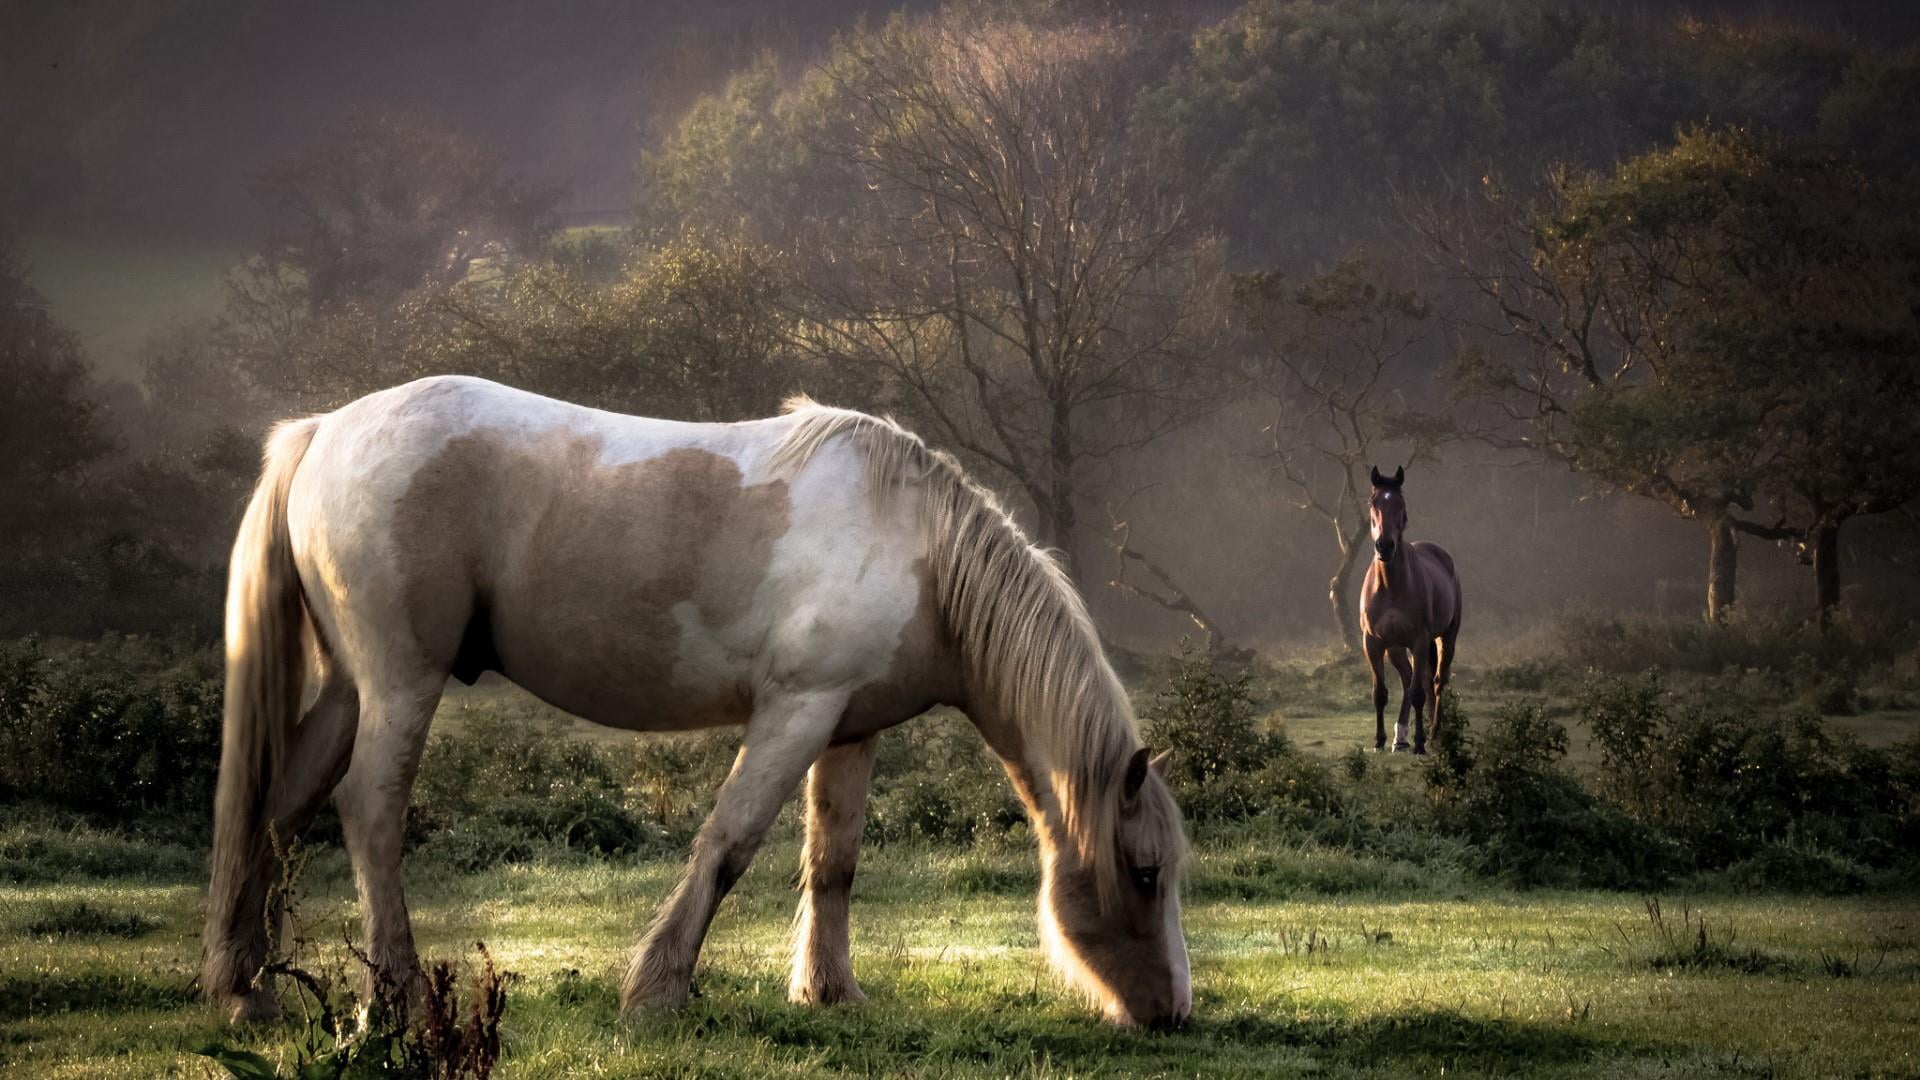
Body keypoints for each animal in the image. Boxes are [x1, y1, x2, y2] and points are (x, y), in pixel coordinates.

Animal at [202, 376, 1191, 1028]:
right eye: (1144, 873)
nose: (1172, 1012)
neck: (917, 550)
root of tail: (324, 431)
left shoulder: (850, 728)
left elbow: (833, 863)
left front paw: (830, 993)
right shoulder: (795, 713)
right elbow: (728, 846)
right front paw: (657, 990)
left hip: (348, 689)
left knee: (280, 807)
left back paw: (245, 986)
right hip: (401, 682)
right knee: (369, 813)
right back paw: (395, 998)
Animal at [1358, 466, 1461, 755]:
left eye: (1401, 504)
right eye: (1373, 502)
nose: (1385, 545)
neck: (1391, 586)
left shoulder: (1419, 639)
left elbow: (1418, 693)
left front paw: (1420, 744)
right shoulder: (1373, 643)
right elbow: (1380, 693)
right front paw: (1380, 741)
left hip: (1445, 639)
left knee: (1435, 682)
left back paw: (1434, 733)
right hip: (1395, 648)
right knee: (1408, 679)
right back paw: (1400, 737)